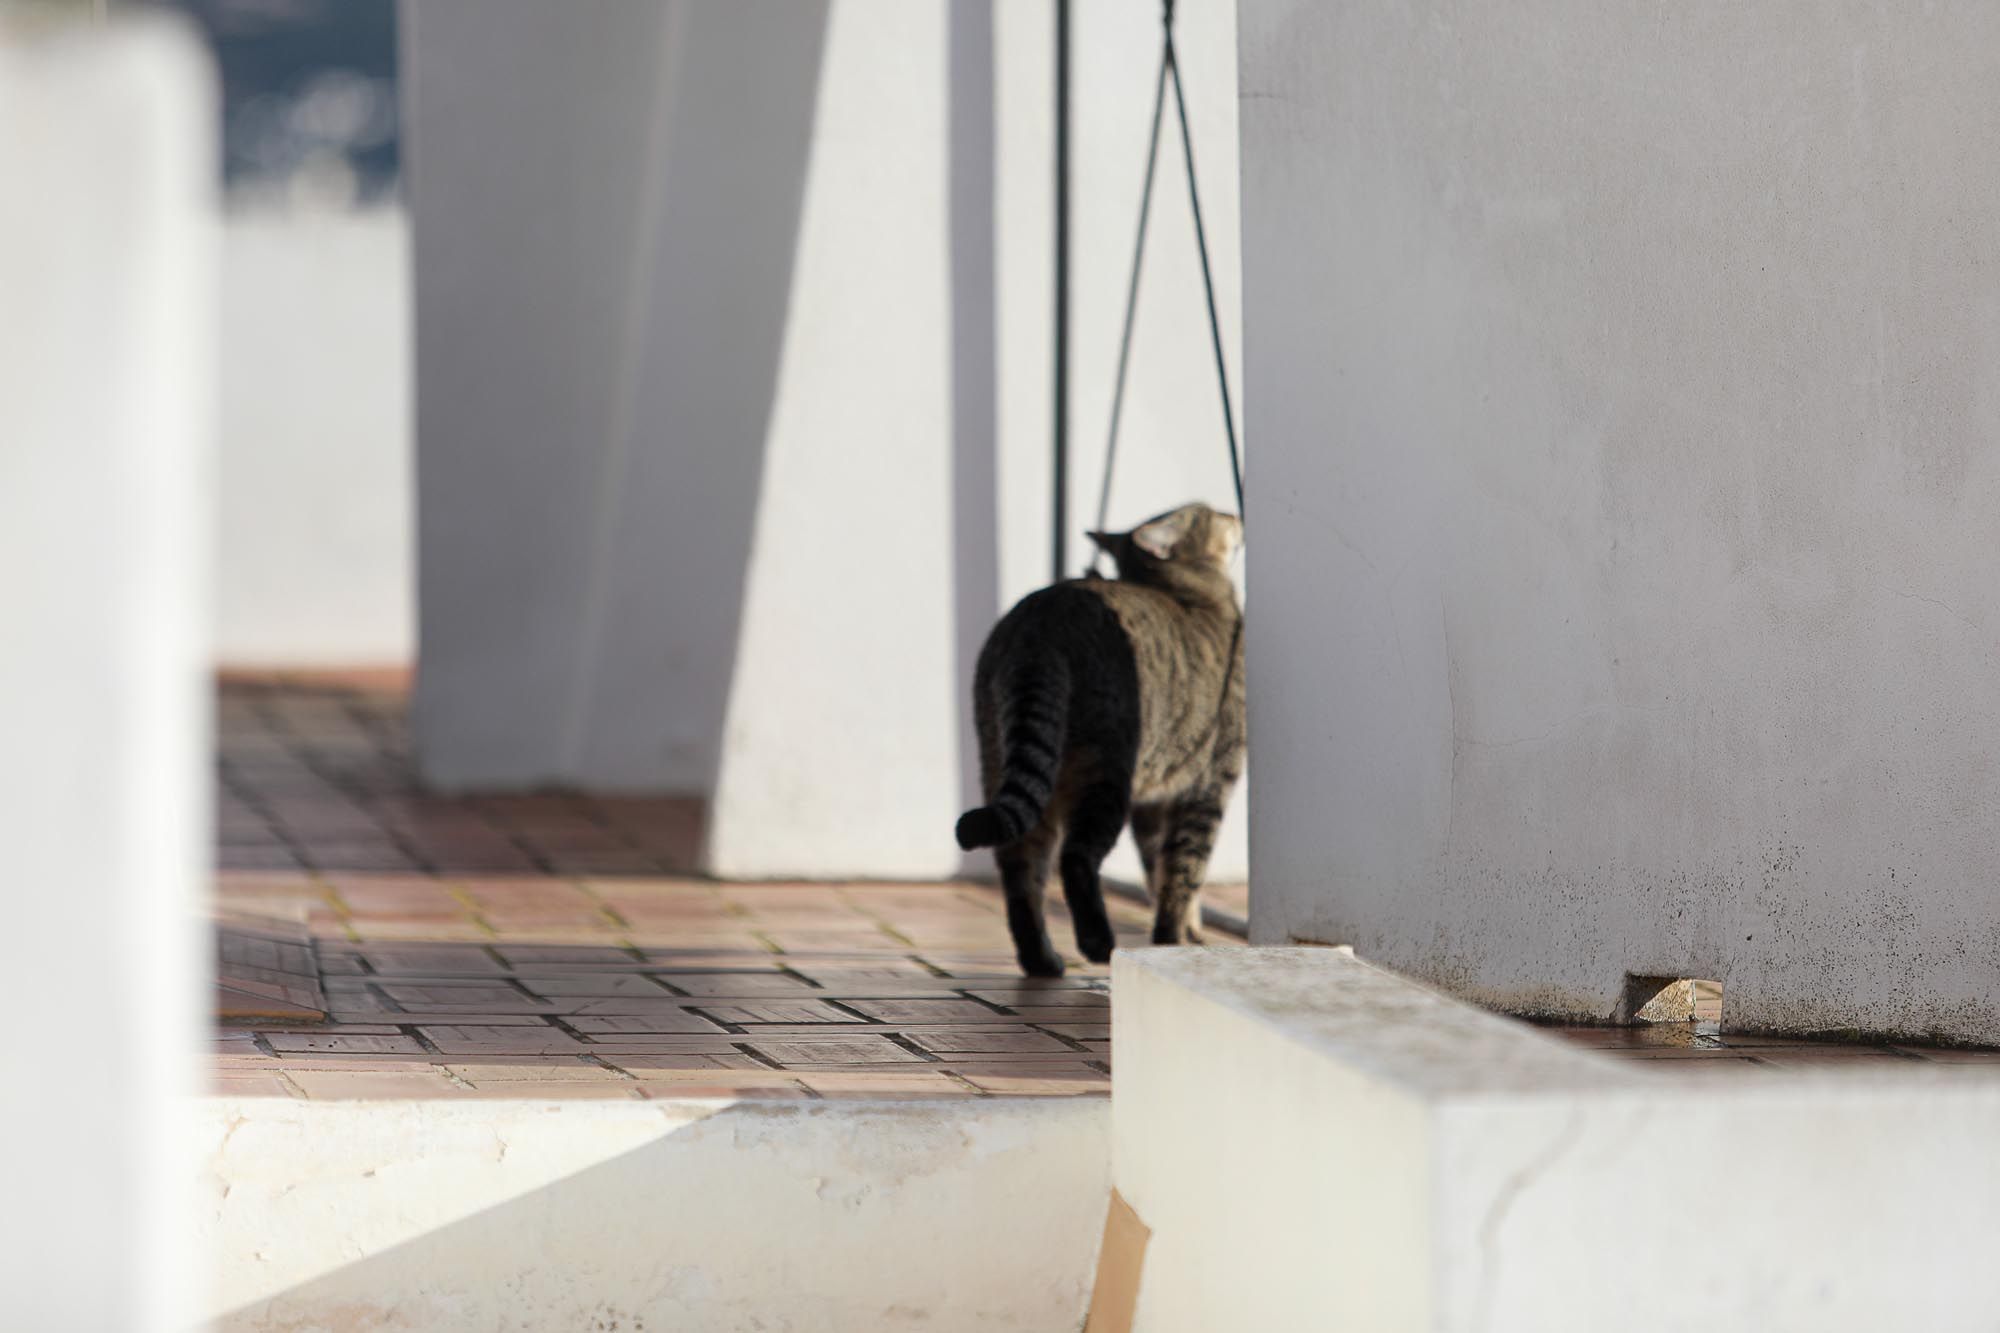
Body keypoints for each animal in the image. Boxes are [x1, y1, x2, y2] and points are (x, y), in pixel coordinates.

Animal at [948, 504, 1232, 972]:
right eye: (1213, 514)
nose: (1232, 512)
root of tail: (1039, 622)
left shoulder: (1154, 801)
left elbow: (1159, 869)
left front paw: (1182, 933)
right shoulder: (1209, 782)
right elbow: (1185, 868)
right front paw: (1175, 938)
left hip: (1003, 758)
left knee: (1019, 862)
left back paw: (1041, 960)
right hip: (1105, 771)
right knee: (1075, 857)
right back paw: (1097, 943)